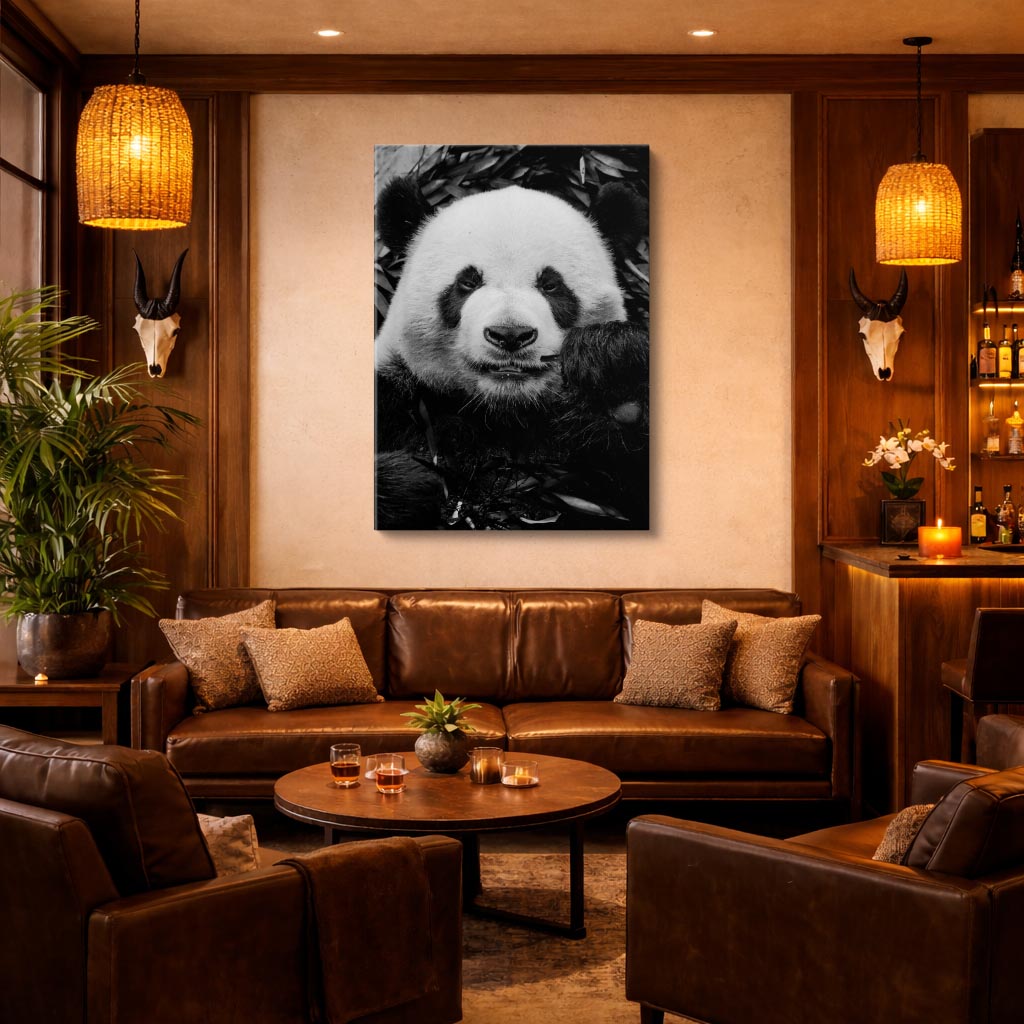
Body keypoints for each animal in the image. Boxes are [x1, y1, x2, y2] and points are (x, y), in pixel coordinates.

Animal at [375, 177, 649, 530]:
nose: (510, 335)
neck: (504, 411)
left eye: (551, 285)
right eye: (467, 282)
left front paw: (611, 367)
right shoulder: (397, 399)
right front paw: (413, 482)